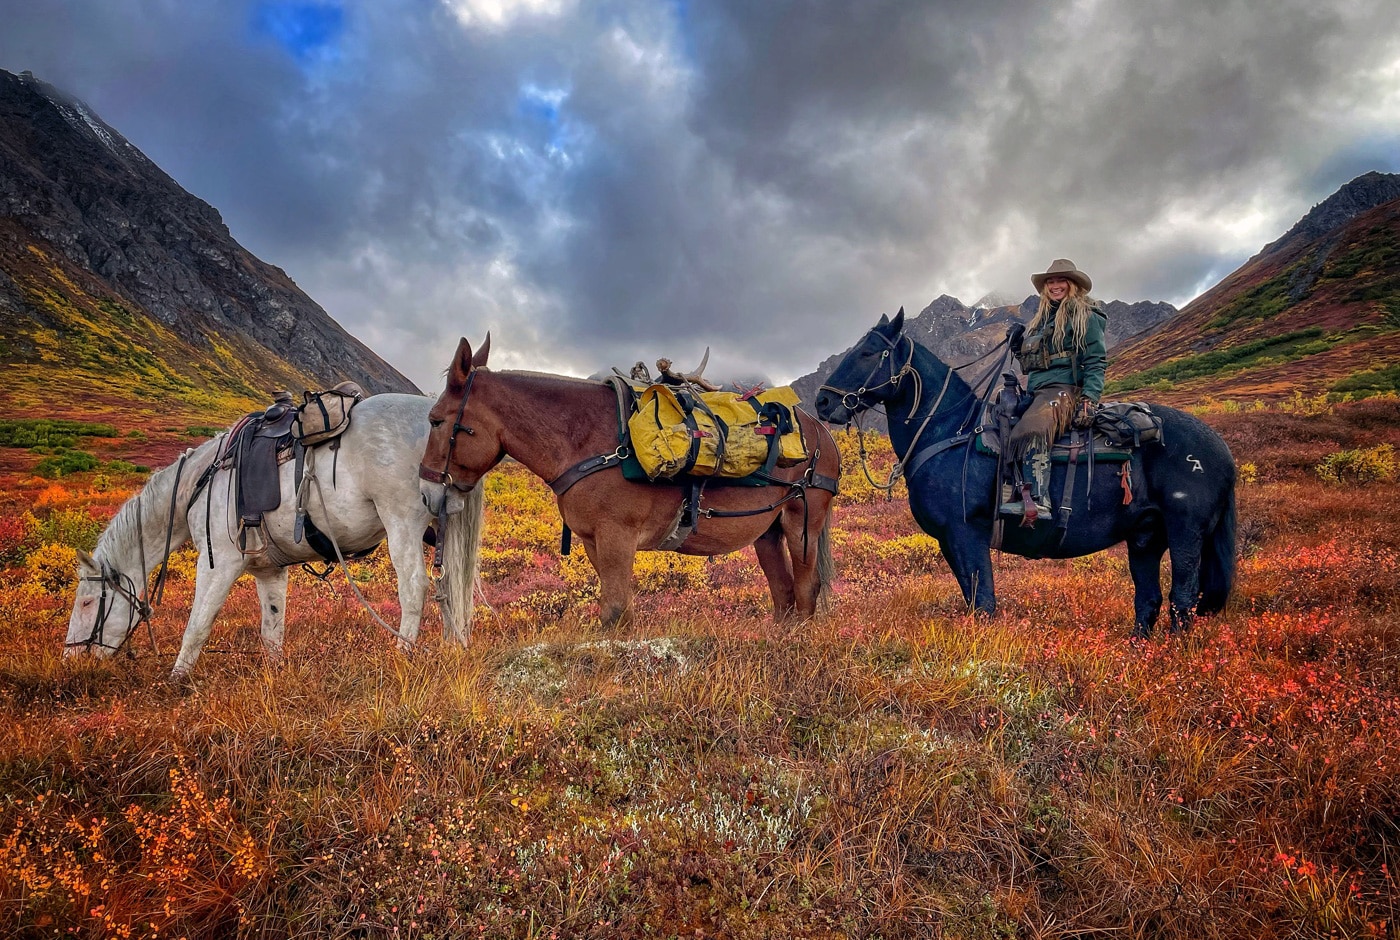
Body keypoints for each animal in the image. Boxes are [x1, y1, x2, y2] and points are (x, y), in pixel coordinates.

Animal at [65, 392, 487, 678]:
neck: (199, 484)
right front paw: (274, 675)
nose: (70, 657)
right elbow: (272, 629)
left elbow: (197, 625)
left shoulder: (218, 564)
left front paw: (177, 680)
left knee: (415, 587)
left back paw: (403, 654)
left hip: (402, 522)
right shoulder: (269, 571)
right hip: (442, 527)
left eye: (86, 602)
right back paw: (453, 647)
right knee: (447, 586)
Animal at [408, 336, 834, 624]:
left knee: (805, 590)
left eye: (435, 421)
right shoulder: (595, 542)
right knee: (784, 595)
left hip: (801, 524)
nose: (427, 493)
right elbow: (621, 613)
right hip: (768, 532)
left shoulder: (618, 536)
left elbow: (613, 613)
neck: (585, 441)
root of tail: (823, 433)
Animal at [817, 310, 1243, 638]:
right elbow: (972, 600)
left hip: (1185, 533)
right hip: (1145, 538)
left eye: (868, 352)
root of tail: (1221, 449)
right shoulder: (950, 541)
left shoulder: (965, 533)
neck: (949, 430)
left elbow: (984, 603)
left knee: (1182, 600)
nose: (822, 401)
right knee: (1149, 600)